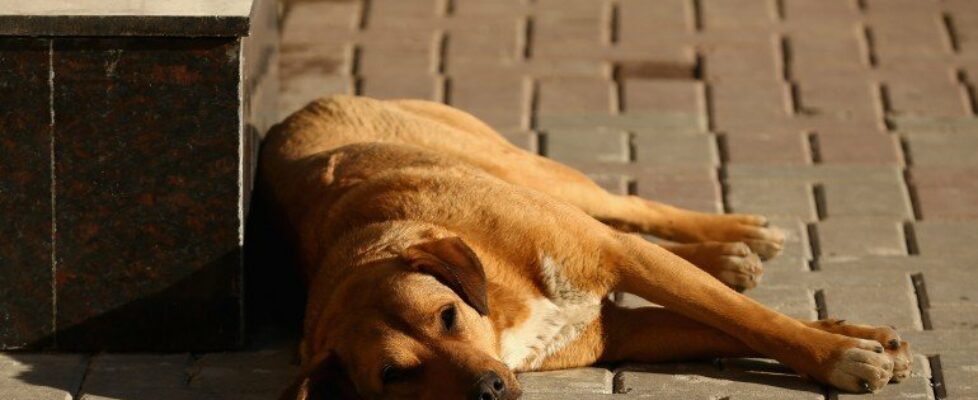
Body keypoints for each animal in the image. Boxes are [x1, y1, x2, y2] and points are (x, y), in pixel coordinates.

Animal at [260, 95, 908, 398]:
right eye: (395, 375)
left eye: (446, 315)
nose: (488, 389)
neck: (501, 304)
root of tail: (295, 112)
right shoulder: (621, 333)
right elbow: (731, 327)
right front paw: (856, 340)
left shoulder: (621, 258)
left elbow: (752, 318)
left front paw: (841, 352)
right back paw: (728, 256)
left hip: (529, 170)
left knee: (629, 209)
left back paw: (740, 234)